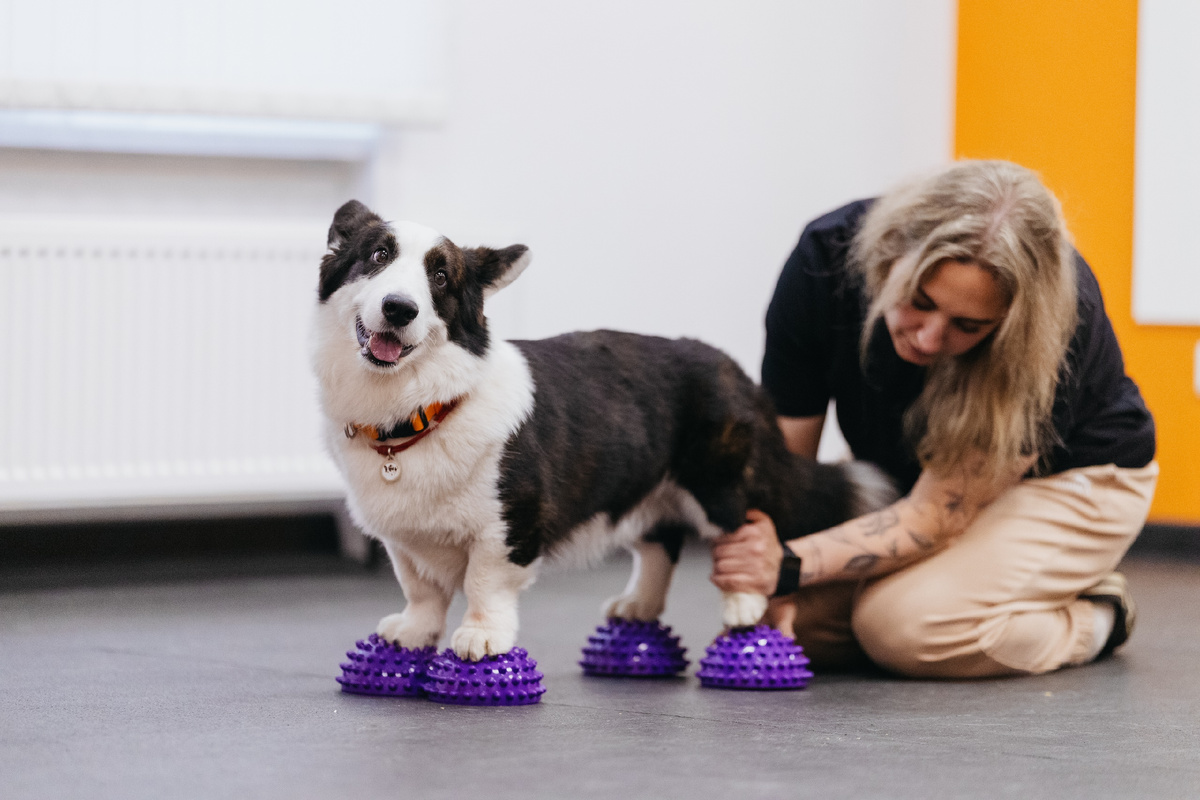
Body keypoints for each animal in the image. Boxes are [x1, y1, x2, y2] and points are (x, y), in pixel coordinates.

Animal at [311, 200, 896, 660]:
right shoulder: (403, 539)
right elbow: (421, 589)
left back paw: (743, 604)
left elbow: (483, 582)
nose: (399, 308)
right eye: (377, 256)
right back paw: (638, 606)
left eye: (440, 278)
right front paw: (414, 632)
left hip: (718, 484)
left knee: (747, 531)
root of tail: (734, 368)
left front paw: (481, 636)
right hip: (650, 486)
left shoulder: (509, 527)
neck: (418, 408)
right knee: (661, 544)